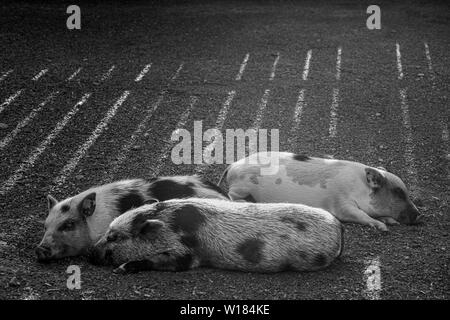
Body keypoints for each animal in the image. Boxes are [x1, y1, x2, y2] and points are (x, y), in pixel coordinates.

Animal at [89, 196, 342, 274]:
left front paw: (120, 269)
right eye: (108, 232)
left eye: (114, 237)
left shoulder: (187, 255)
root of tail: (339, 226)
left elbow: (171, 263)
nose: (89, 253)